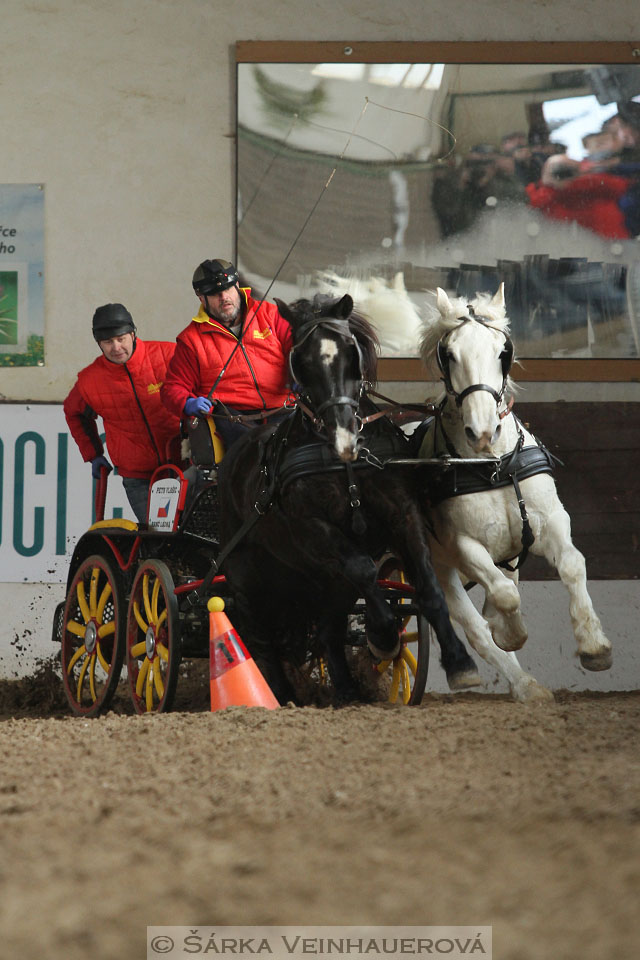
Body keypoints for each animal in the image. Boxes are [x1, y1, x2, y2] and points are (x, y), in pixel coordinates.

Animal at [218, 288, 478, 700]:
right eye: (301, 361)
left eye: (349, 351)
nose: (344, 437)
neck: (344, 464)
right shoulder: (312, 526)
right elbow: (364, 570)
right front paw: (384, 634)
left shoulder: (403, 513)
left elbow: (428, 587)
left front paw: (459, 661)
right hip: (246, 575)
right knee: (259, 642)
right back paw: (280, 696)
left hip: (315, 578)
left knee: (327, 633)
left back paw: (345, 691)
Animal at [418, 282, 612, 700]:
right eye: (450, 354)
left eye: (501, 351)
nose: (483, 431)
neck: (492, 466)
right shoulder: (462, 545)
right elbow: (505, 598)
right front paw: (511, 633)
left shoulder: (550, 521)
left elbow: (572, 565)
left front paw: (594, 646)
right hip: (438, 566)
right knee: (476, 626)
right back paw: (520, 682)